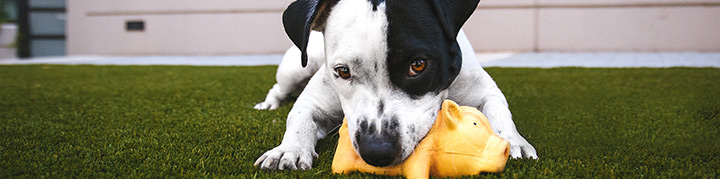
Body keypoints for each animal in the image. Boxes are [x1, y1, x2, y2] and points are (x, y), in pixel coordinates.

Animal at [252, 0, 536, 171]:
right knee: (278, 88)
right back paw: (268, 105)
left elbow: (499, 111)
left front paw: (513, 141)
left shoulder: (484, 90)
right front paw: (287, 149)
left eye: (418, 65)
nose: (377, 151)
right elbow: (299, 117)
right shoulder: (314, 99)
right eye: (343, 71)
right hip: (294, 68)